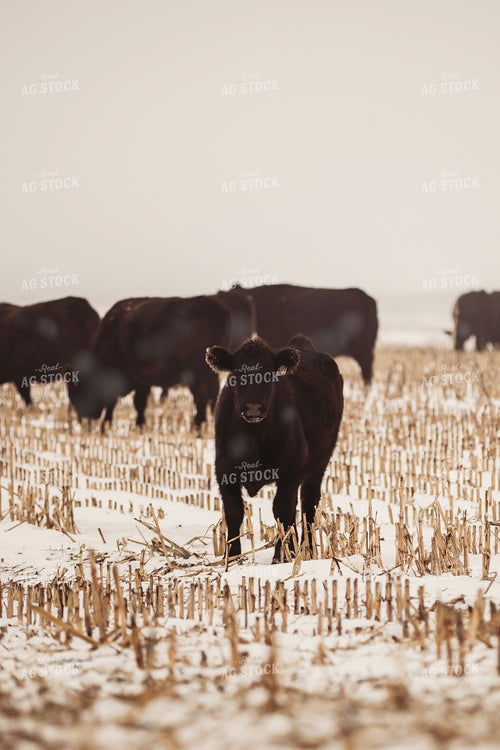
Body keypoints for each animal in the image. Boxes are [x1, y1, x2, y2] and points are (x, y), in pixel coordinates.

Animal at [67, 291, 253, 430]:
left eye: (77, 391)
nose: (84, 416)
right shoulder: (141, 379)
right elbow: (139, 403)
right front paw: (140, 425)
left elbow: (115, 401)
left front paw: (105, 427)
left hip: (199, 372)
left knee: (203, 397)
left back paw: (199, 426)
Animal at [206, 334, 344, 563]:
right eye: (237, 372)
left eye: (269, 374)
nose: (253, 408)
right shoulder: (224, 469)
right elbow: (234, 511)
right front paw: (231, 557)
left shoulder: (290, 471)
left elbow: (282, 512)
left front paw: (281, 557)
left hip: (318, 464)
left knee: (308, 505)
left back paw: (307, 550)